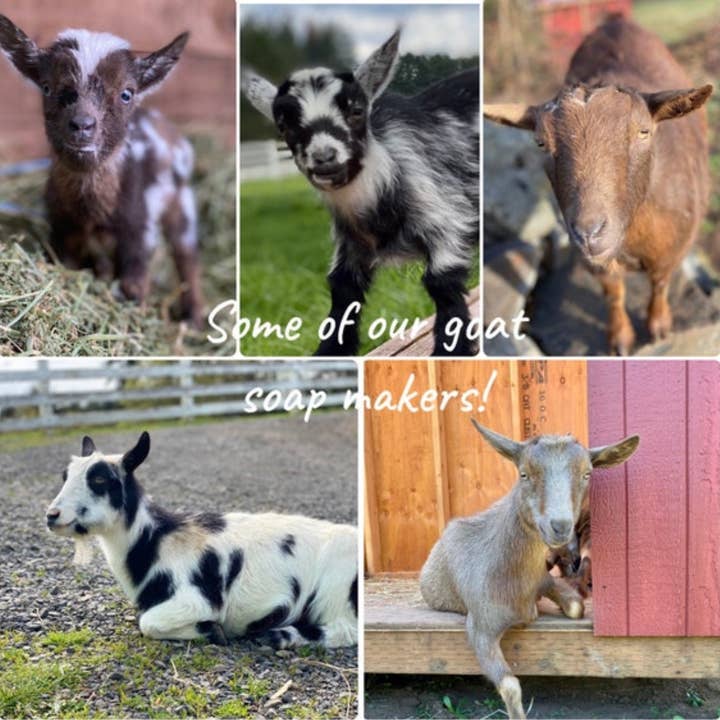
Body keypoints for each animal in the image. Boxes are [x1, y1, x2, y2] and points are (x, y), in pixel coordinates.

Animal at [0, 16, 204, 327]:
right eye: (46, 87)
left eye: (126, 93)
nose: (82, 125)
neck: (90, 207)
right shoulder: (62, 224)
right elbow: (66, 263)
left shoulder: (139, 226)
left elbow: (134, 282)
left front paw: (135, 314)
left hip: (182, 202)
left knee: (186, 255)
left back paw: (193, 318)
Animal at [45, 432, 358, 647]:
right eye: (64, 476)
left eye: (100, 480)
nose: (52, 515)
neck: (155, 542)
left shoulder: (196, 600)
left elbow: (148, 623)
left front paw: (212, 631)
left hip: (335, 589)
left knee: (345, 630)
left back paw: (281, 636)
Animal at [243, 31, 479, 356]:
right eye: (283, 125)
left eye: (356, 111)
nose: (324, 157)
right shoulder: (350, 247)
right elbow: (343, 290)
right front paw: (328, 353)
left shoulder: (445, 218)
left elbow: (442, 283)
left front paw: (450, 352)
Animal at [420, 421, 639, 719]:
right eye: (524, 473)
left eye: (587, 474)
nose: (560, 526)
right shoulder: (480, 626)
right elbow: (511, 686)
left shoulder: (543, 580)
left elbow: (576, 607)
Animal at [484, 15, 712, 355]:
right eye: (540, 143)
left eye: (644, 131)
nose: (589, 233)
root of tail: (617, 21)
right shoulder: (591, 257)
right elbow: (613, 292)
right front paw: (620, 339)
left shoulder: (674, 245)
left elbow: (660, 283)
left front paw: (659, 327)